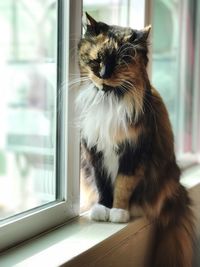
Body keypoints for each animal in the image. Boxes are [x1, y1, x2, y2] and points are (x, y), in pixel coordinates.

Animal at [76, 13, 195, 267]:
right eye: (97, 60)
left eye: (121, 62)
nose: (103, 75)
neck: (110, 99)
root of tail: (178, 189)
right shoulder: (95, 153)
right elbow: (102, 184)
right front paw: (102, 209)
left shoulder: (134, 152)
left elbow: (123, 184)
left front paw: (119, 212)